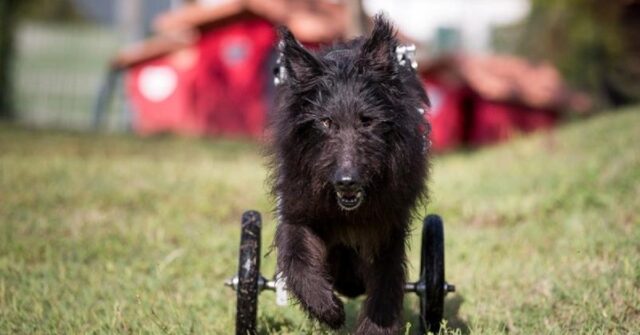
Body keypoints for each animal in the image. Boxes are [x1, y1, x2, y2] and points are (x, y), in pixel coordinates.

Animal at [268, 14, 432, 334]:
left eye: (366, 121)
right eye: (326, 122)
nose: (346, 181)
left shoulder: (387, 226)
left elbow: (386, 279)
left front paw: (376, 325)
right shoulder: (298, 211)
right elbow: (296, 258)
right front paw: (326, 308)